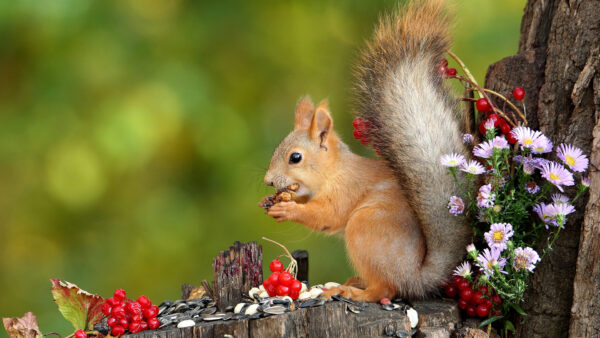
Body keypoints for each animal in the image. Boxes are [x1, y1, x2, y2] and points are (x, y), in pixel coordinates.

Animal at [260, 0, 472, 302]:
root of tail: (415, 276)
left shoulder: (346, 189)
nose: (268, 181)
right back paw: (355, 281)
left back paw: (352, 292)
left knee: (385, 288)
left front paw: (288, 209)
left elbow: (327, 216)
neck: (333, 171)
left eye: (295, 158)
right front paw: (271, 201)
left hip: (365, 227)